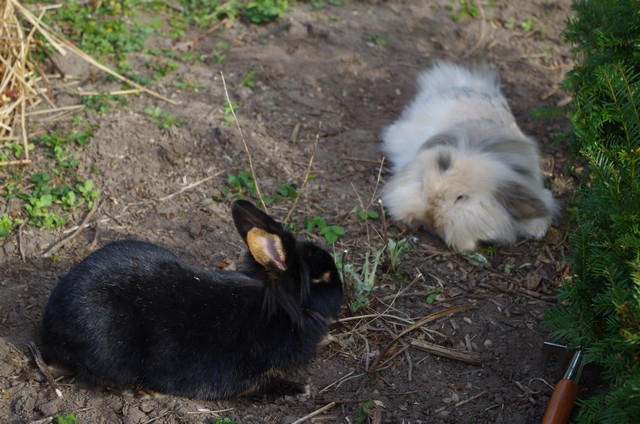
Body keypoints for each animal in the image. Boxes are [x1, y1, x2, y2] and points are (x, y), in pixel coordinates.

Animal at [39, 200, 342, 400]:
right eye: (321, 278)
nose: (342, 290)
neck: (283, 310)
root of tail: (49, 326)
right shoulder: (243, 377)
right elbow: (262, 387)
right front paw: (300, 388)